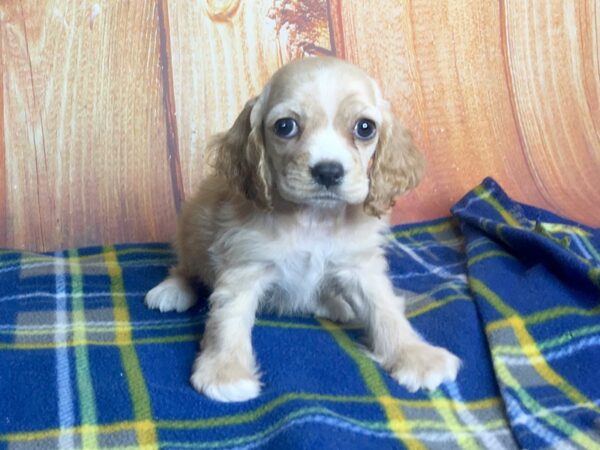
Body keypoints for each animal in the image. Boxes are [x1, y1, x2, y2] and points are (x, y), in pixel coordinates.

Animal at [145, 55, 460, 400]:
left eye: (365, 128)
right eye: (285, 126)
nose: (328, 171)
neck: (313, 218)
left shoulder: (360, 266)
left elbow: (385, 309)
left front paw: (415, 355)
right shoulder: (245, 265)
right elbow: (228, 319)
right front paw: (224, 372)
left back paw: (335, 303)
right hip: (191, 228)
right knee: (185, 267)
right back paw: (173, 289)